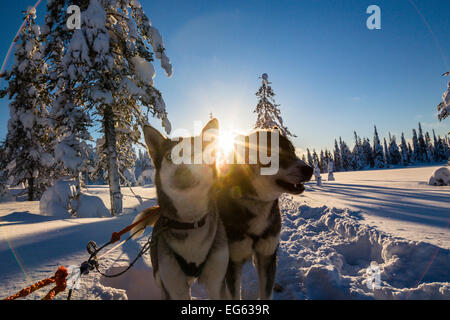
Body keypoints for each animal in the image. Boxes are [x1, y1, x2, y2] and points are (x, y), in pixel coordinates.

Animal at [130, 118, 229, 300]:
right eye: (170, 156)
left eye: (196, 153)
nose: (182, 171)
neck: (190, 223)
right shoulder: (174, 287)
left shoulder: (216, 283)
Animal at [216, 129, 312, 298]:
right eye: (271, 153)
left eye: (292, 150)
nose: (310, 169)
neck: (256, 201)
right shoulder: (233, 261)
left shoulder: (267, 255)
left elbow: (266, 292)